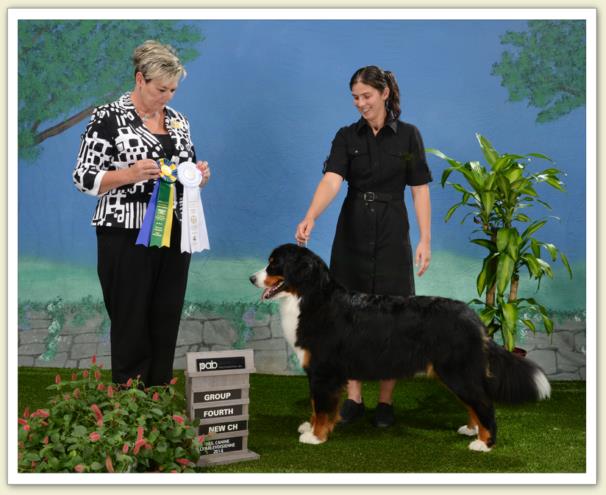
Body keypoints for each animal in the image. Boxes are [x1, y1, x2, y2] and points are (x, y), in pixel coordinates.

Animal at [249, 244, 552, 454]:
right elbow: (315, 405)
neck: (310, 298)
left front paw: (315, 436)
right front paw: (310, 426)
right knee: (475, 403)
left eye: (274, 264)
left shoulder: (324, 372)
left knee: (484, 403)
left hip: (457, 372)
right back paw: (471, 430)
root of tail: (473, 317)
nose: (251, 278)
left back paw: (484, 443)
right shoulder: (317, 372)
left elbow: (322, 407)